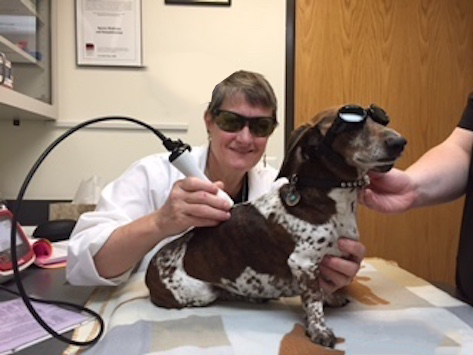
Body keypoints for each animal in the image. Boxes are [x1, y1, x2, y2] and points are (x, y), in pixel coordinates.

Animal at [144, 104, 406, 350]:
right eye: (351, 125)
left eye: (380, 118)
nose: (400, 142)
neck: (328, 199)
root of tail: (150, 270)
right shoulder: (303, 263)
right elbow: (313, 300)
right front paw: (319, 329)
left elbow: (323, 289)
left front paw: (331, 297)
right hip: (199, 293)